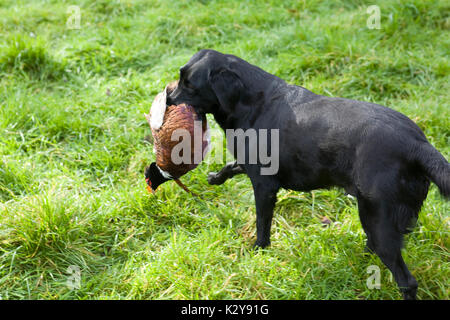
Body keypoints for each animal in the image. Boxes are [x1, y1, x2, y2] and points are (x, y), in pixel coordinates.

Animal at [166, 48, 450, 298]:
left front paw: (258, 250)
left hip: (378, 218)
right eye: (180, 78)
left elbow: (262, 224)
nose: (167, 100)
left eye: (190, 85)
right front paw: (215, 177)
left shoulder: (264, 186)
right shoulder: (251, 164)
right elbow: (231, 166)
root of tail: (417, 144)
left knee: (406, 280)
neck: (251, 102)